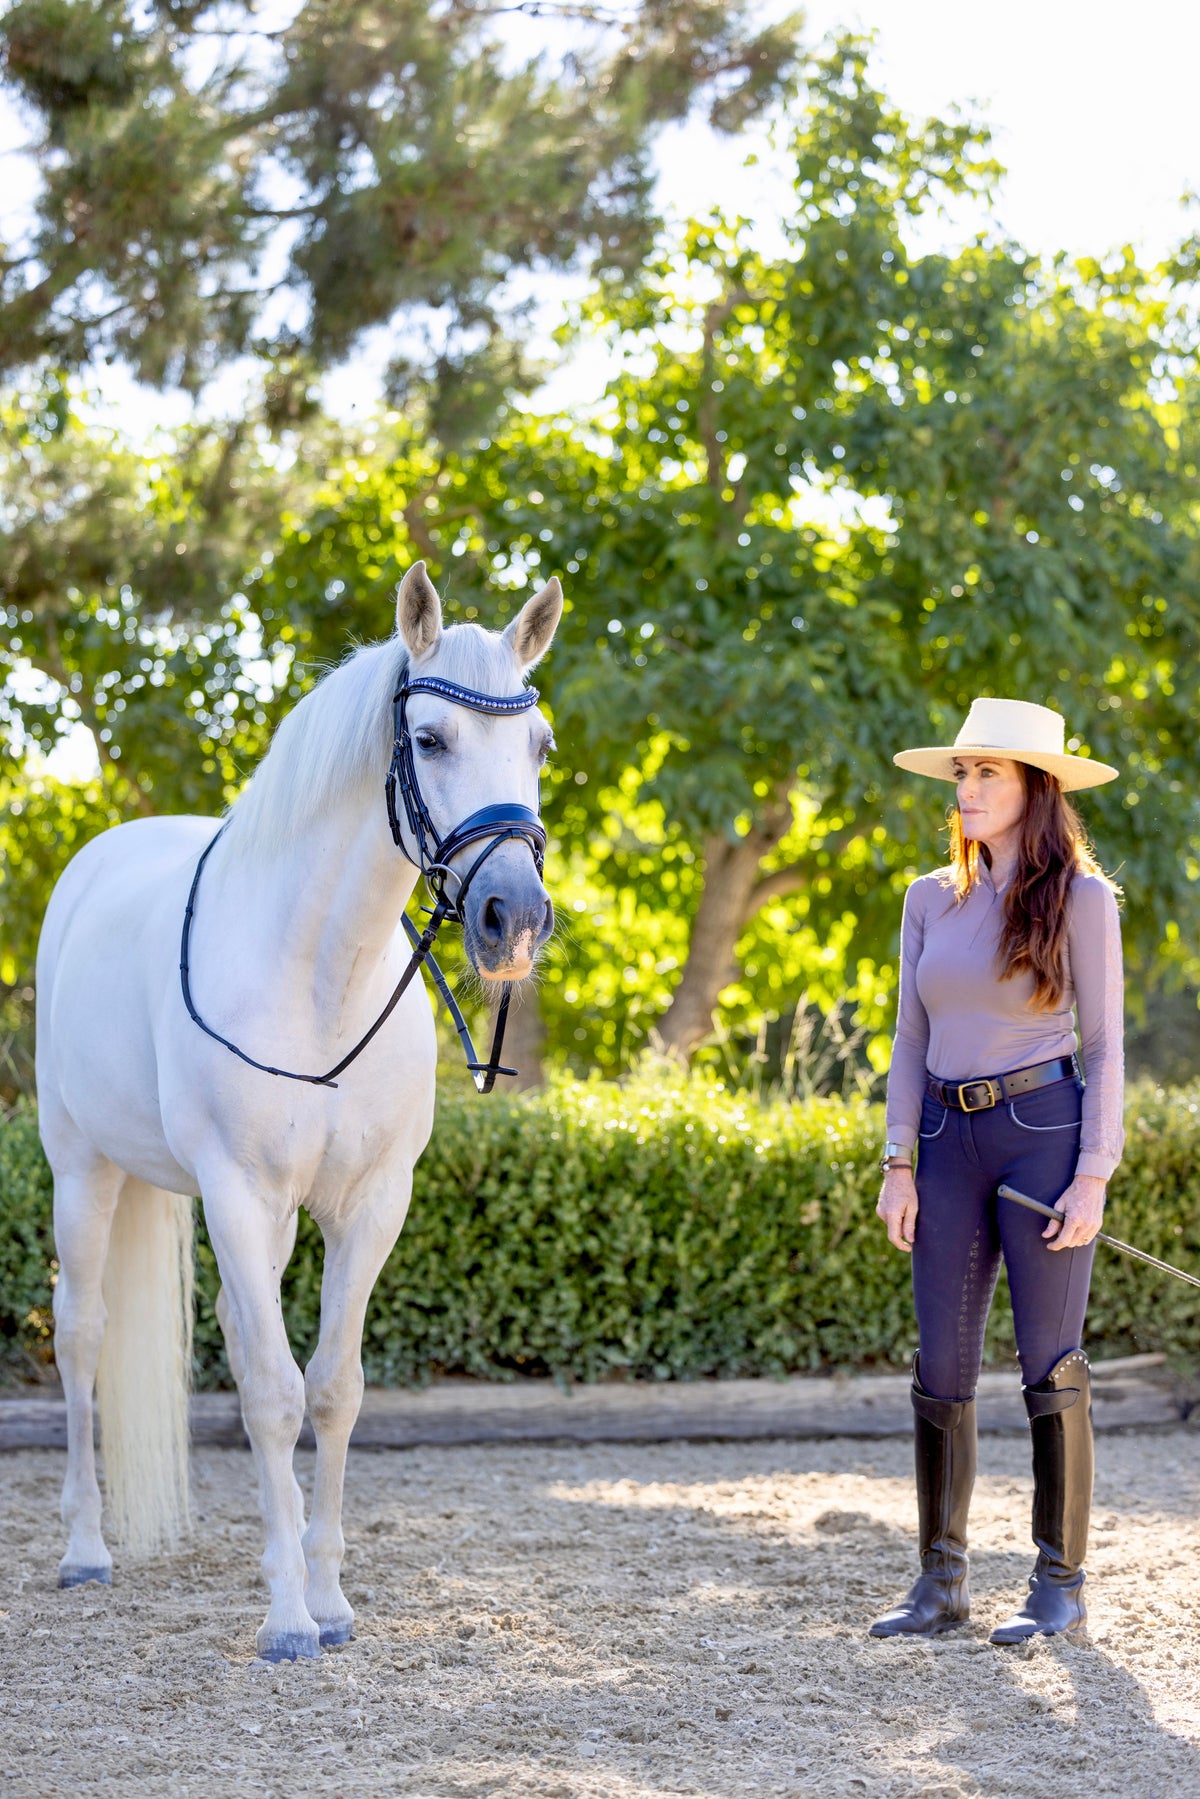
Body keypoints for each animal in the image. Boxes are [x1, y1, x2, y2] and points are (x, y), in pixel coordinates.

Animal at [37, 568, 564, 1662]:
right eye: (430, 739)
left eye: (538, 746)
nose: (515, 918)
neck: (324, 979)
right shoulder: (237, 1194)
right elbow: (278, 1394)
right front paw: (286, 1618)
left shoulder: (369, 1205)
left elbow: (329, 1386)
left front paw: (326, 1594)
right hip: (82, 1171)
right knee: (83, 1335)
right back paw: (86, 1547)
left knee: (243, 1346)